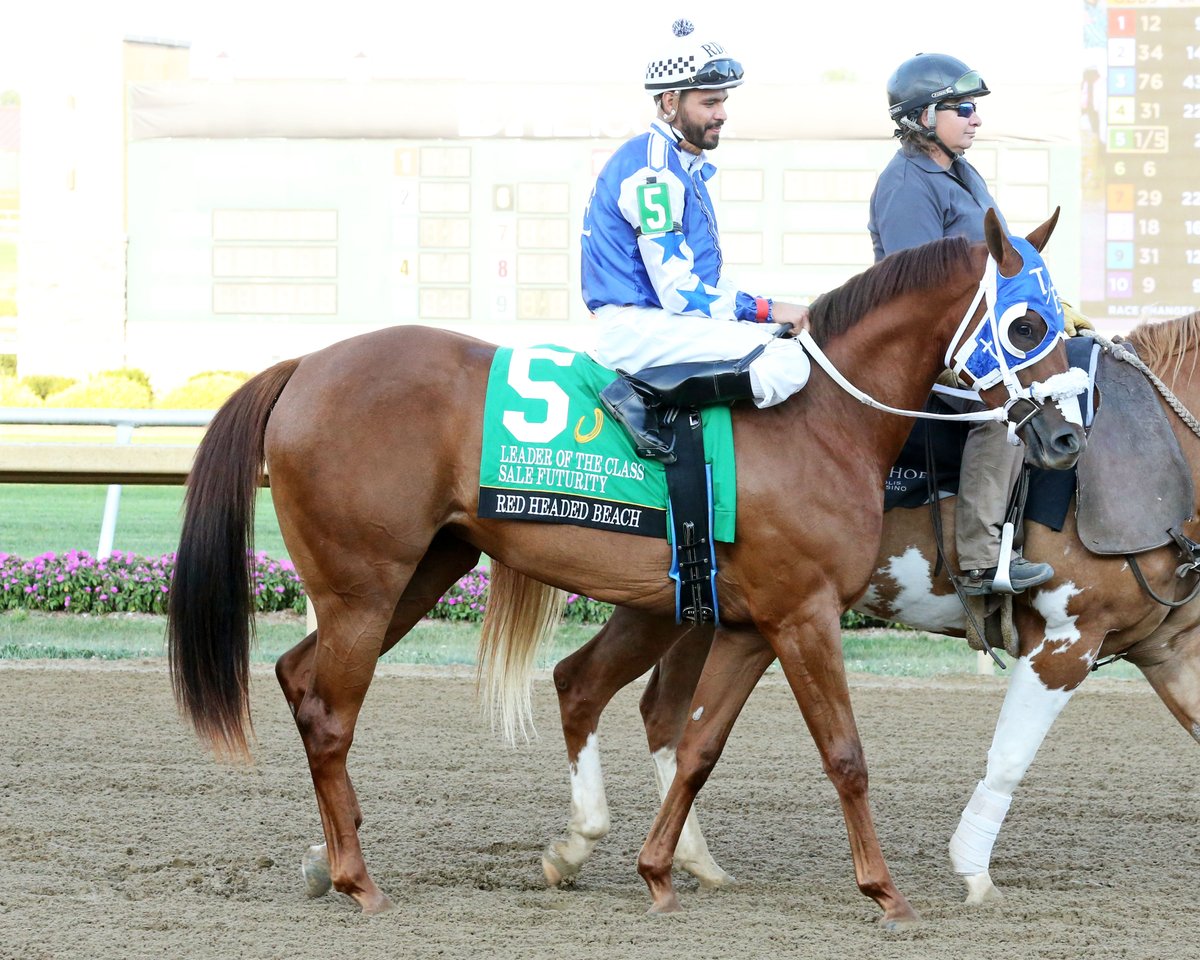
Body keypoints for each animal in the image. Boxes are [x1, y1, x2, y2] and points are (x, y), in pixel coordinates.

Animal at [166, 206, 1080, 926]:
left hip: (417, 575)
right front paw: (885, 892)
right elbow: (844, 753)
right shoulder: (804, 614)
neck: (820, 419)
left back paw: (331, 858)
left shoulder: (750, 624)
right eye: (1027, 324)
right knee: (330, 714)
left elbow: (700, 745)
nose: (1067, 435)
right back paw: (359, 880)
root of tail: (303, 367)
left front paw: (658, 872)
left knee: (297, 676)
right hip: (366, 585)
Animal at [540, 312, 1200, 907]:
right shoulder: (1068, 638)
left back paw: (643, 854)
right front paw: (972, 871)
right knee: (616, 695)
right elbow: (1011, 757)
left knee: (615, 694)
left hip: (680, 605)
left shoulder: (1170, 650)